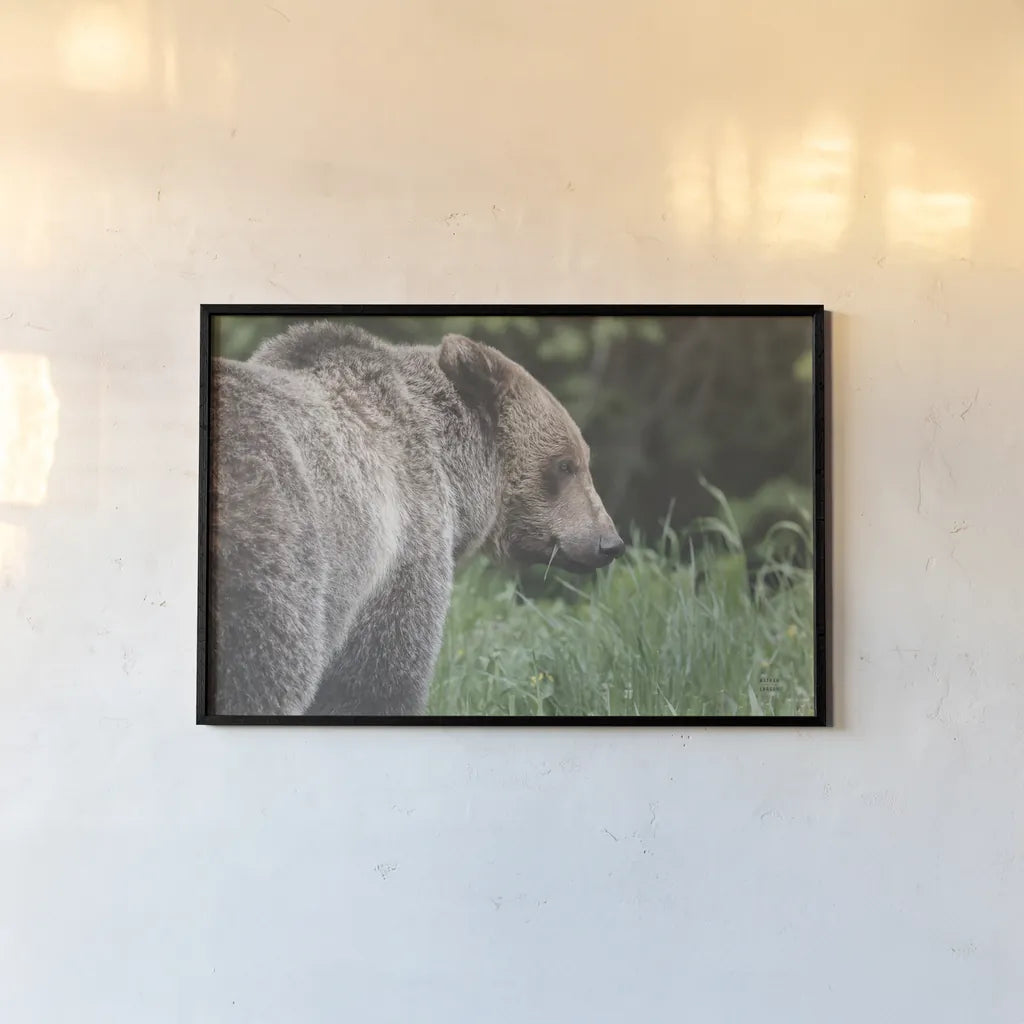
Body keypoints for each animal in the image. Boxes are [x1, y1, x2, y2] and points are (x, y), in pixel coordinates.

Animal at [207, 320, 625, 716]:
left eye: (580, 459)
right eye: (565, 464)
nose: (609, 542)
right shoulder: (402, 551)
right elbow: (379, 676)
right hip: (276, 547)